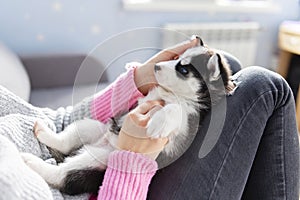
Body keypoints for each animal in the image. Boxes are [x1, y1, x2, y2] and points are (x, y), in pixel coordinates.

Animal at [21, 36, 232, 195]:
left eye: (183, 69)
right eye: (176, 58)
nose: (156, 66)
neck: (171, 94)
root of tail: (99, 145)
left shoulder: (186, 128)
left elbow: (175, 110)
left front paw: (160, 122)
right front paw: (135, 65)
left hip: (94, 162)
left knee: (62, 175)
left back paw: (32, 162)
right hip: (92, 127)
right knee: (67, 140)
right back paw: (45, 134)